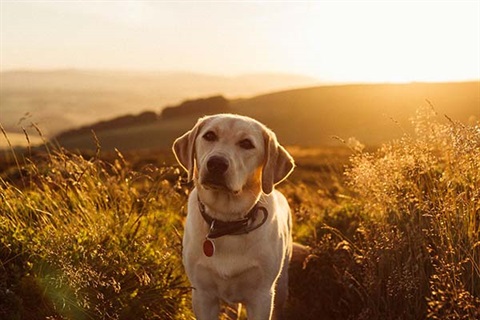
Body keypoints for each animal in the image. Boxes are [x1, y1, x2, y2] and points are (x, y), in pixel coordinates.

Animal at [172, 114, 292, 318]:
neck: (226, 221)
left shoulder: (261, 297)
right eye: (209, 135)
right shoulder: (202, 295)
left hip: (281, 286)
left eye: (246, 143)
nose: (216, 163)